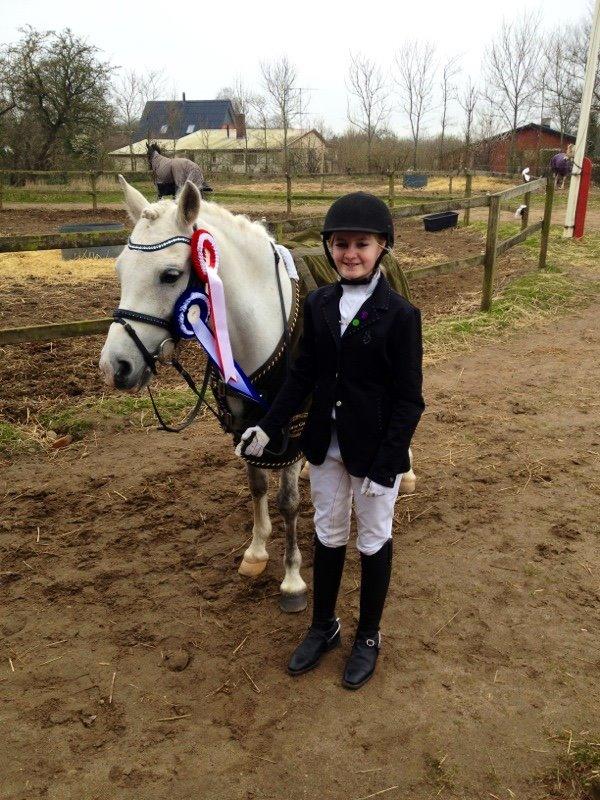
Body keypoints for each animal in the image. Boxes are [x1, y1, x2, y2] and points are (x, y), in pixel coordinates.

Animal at [99, 177, 417, 614]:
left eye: (169, 275)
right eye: (120, 269)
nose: (115, 367)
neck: (257, 332)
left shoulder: (292, 422)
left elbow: (287, 502)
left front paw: (292, 579)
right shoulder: (247, 424)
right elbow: (256, 486)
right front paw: (256, 550)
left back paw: (406, 473)